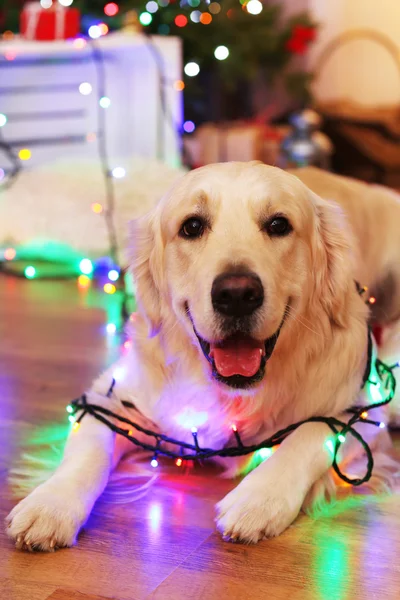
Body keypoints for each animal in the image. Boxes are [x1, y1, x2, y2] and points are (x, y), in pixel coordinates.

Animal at [6, 163, 400, 548]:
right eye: (192, 226)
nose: (237, 294)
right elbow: (89, 445)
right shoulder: (111, 393)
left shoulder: (363, 410)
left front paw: (258, 498)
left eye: (279, 225)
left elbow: (312, 432)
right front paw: (49, 505)